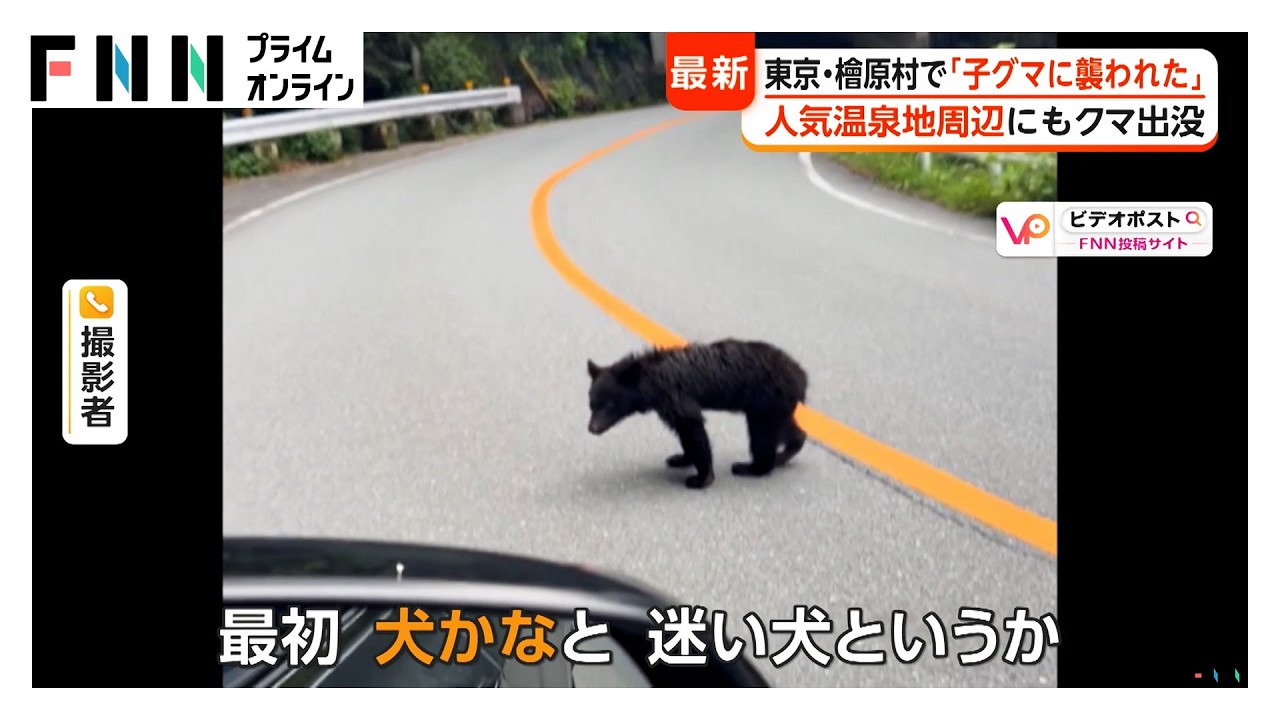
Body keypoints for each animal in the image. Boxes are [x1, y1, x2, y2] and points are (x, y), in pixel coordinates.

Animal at [586, 338, 809, 489]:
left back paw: (751, 467)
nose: (592, 428)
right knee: (784, 428)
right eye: (591, 404)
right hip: (774, 404)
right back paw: (786, 453)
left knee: (762, 435)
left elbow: (691, 428)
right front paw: (681, 458)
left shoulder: (674, 396)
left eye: (610, 405)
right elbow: (685, 433)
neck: (649, 379)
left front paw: (701, 478)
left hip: (766, 400)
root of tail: (801, 375)